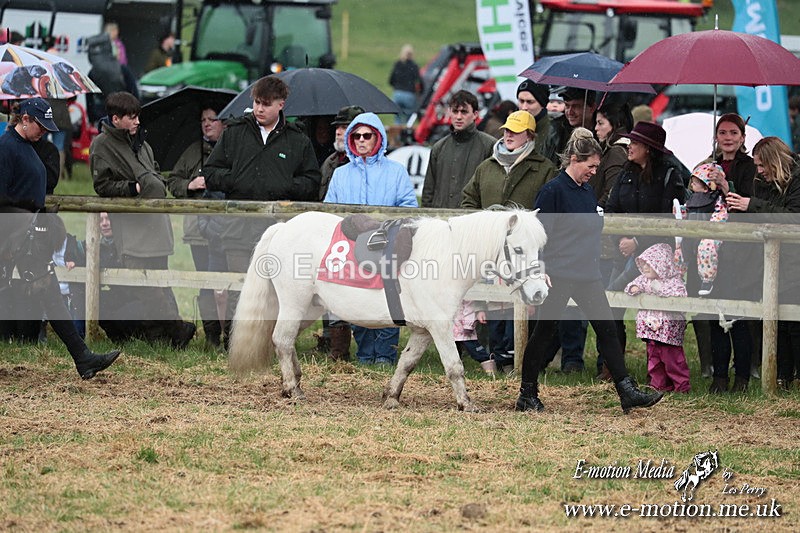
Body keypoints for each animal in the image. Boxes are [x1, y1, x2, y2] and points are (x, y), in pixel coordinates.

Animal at [228, 209, 549, 411]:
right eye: (517, 249)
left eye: (538, 248)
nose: (539, 292)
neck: (446, 257)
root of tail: (284, 228)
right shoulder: (440, 328)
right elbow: (454, 367)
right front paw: (466, 403)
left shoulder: (422, 331)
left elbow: (406, 363)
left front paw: (391, 396)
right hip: (294, 303)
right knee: (282, 339)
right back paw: (294, 390)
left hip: (308, 308)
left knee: (287, 340)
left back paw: (291, 382)